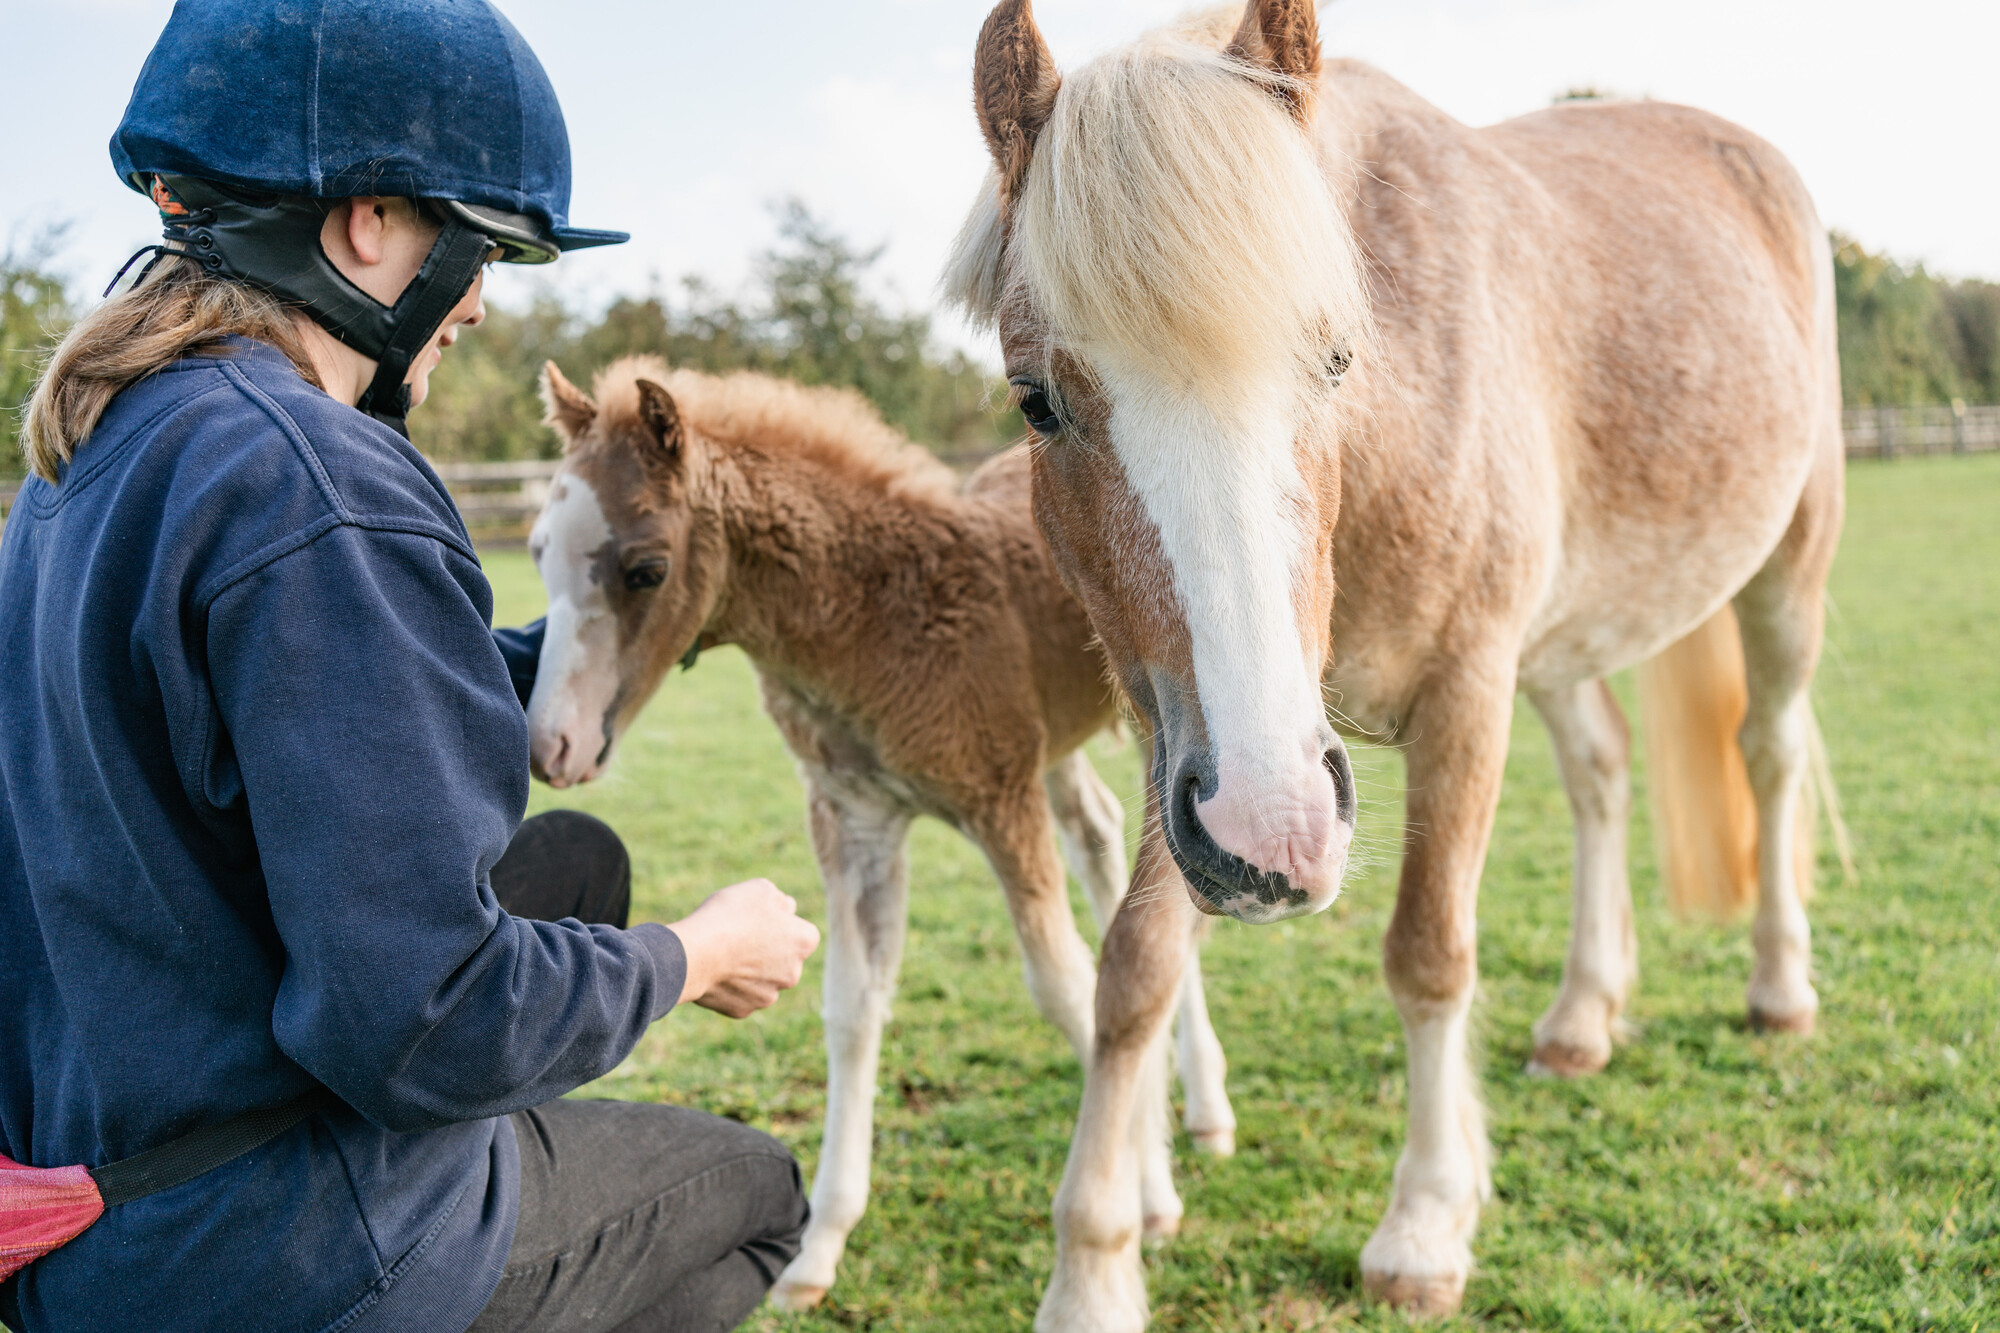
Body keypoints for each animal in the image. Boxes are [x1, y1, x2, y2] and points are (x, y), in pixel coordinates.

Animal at [518, 355, 1238, 1309]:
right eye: (537, 552)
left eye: (644, 568)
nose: (551, 746)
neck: (875, 616)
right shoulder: (854, 819)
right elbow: (853, 1009)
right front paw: (819, 1246)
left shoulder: (1000, 799)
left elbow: (1066, 987)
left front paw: (1148, 1192)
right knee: (1103, 841)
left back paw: (1207, 1110)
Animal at [947, 0, 1845, 1324]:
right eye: (1033, 399)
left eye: (1335, 359)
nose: (1274, 836)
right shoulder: (1193, 738)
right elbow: (1134, 972)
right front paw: (1092, 1272)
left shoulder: (1458, 697)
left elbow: (1427, 953)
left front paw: (1423, 1224)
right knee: (1600, 771)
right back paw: (1581, 1015)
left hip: (1785, 567)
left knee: (1768, 753)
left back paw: (1778, 991)